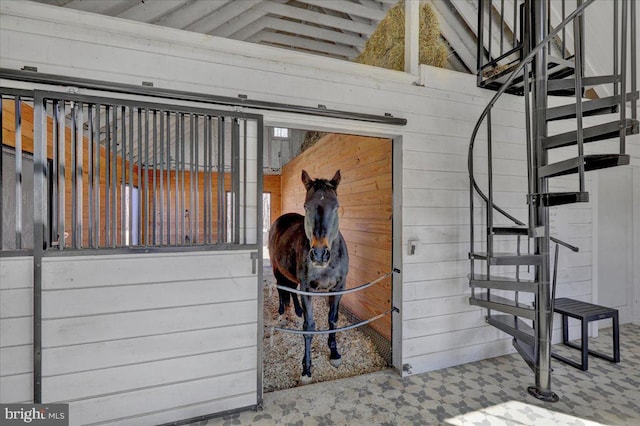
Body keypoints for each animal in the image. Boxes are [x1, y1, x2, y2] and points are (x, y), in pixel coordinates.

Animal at [268, 169, 350, 382]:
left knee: (291, 289)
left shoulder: (338, 288)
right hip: (276, 268)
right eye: (306, 206)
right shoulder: (308, 289)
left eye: (336, 207)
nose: (320, 254)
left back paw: (296, 311)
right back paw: (282, 314)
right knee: (281, 289)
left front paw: (334, 353)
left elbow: (333, 320)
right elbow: (309, 326)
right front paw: (306, 368)